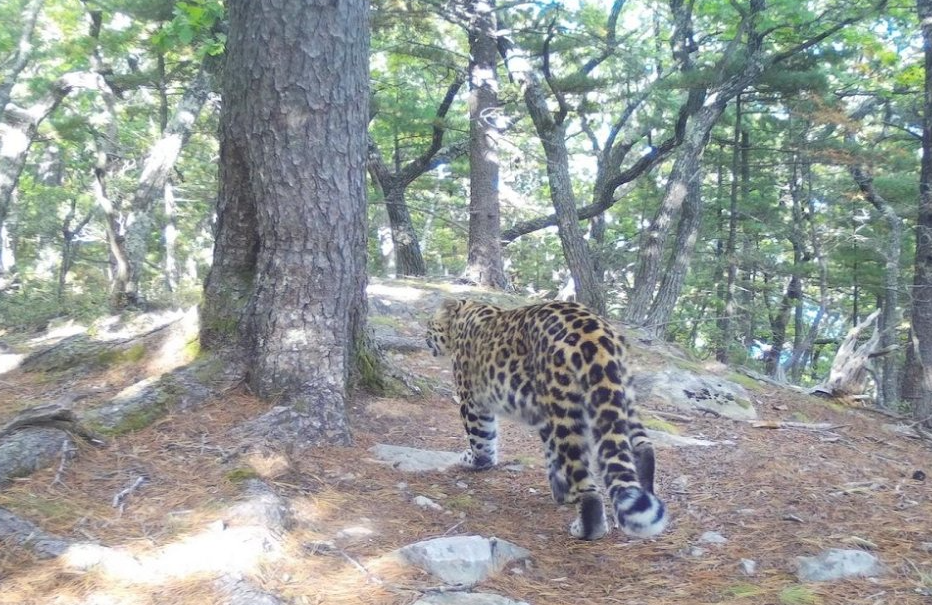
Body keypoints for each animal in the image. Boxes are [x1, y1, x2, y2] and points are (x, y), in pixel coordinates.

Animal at [426, 298, 668, 536]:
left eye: (430, 324)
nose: (425, 337)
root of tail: (598, 336)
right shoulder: (542, 415)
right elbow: (552, 455)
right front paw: (561, 491)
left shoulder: (472, 400)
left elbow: (481, 437)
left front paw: (475, 461)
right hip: (619, 396)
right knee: (641, 446)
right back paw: (642, 494)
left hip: (565, 410)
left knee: (585, 480)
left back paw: (587, 528)